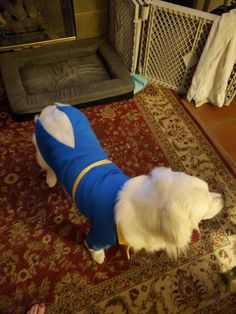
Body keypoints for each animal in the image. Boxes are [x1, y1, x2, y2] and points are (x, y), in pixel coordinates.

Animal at [32, 104, 223, 264]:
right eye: (207, 201)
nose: (223, 198)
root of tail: (53, 108)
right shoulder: (99, 234)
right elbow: (93, 247)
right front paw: (98, 257)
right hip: (42, 152)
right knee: (47, 166)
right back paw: (51, 179)